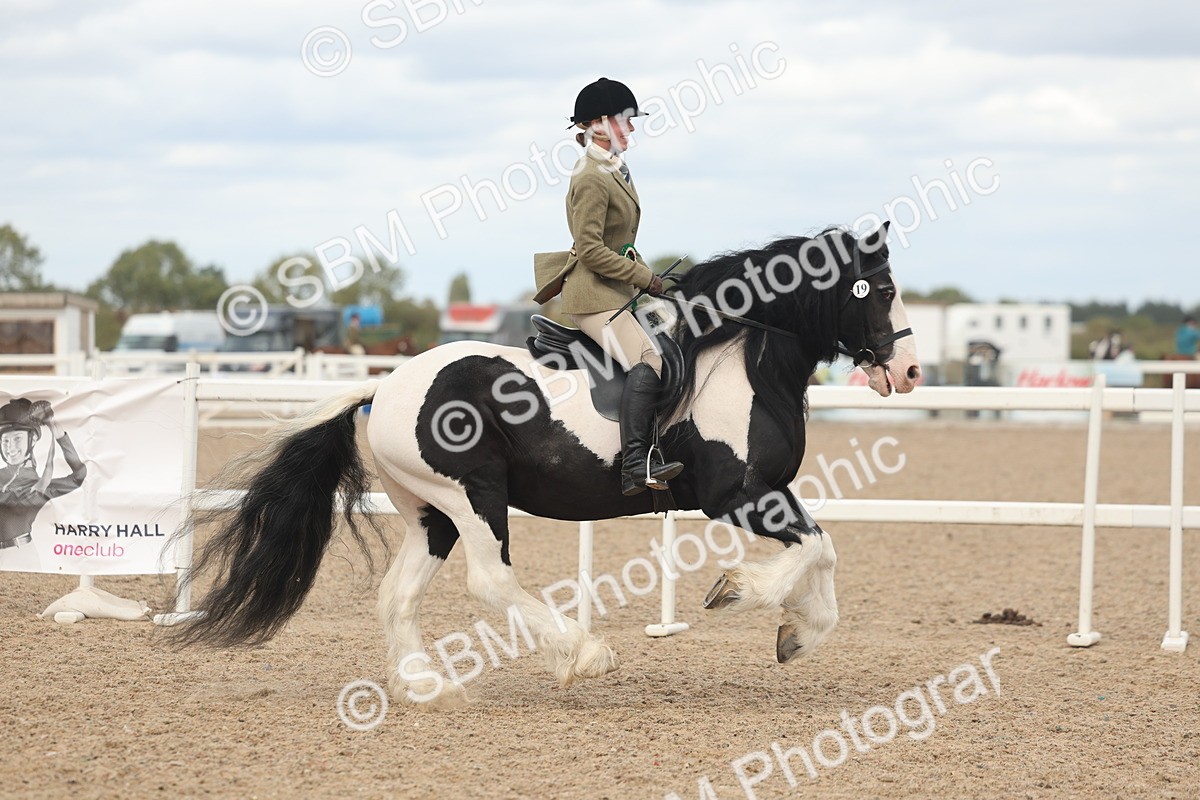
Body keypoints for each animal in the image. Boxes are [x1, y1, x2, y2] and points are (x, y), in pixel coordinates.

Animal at [172, 221, 921, 708]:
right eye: (879, 290)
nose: (911, 371)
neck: (742, 359)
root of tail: (384, 389)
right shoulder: (736, 493)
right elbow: (816, 548)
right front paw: (740, 593)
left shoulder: (768, 492)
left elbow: (821, 549)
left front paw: (797, 633)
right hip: (474, 496)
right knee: (489, 580)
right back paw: (583, 653)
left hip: (430, 512)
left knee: (399, 594)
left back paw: (427, 689)